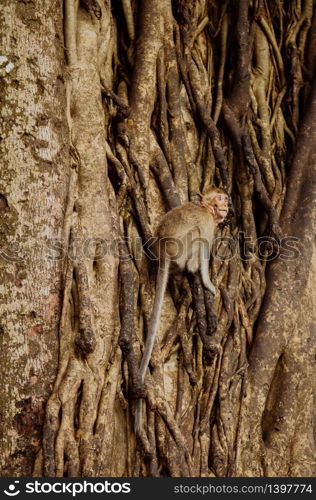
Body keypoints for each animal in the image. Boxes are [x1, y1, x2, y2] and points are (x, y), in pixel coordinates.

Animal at [137, 187, 228, 390]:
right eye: (220, 198)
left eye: (226, 198)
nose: (227, 205)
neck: (206, 209)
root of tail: (163, 251)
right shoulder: (208, 225)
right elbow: (204, 249)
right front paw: (208, 283)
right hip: (180, 249)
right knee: (197, 237)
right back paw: (192, 269)